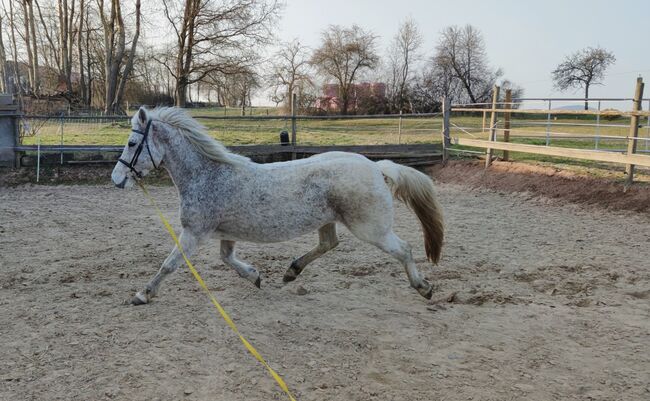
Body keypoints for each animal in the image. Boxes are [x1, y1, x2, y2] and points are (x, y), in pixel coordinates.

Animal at [111, 106, 442, 304]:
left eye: (131, 143)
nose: (116, 179)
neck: (208, 175)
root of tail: (376, 167)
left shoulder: (194, 232)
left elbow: (169, 264)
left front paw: (142, 294)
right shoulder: (225, 234)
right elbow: (227, 259)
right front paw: (255, 276)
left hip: (371, 228)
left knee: (404, 249)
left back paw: (424, 287)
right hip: (328, 220)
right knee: (329, 244)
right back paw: (291, 272)